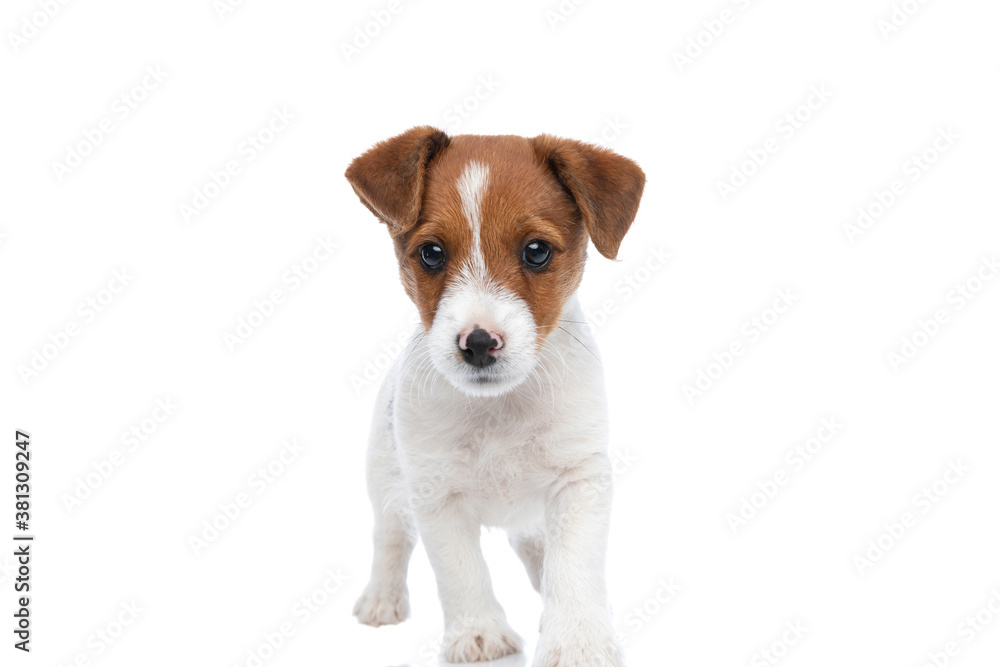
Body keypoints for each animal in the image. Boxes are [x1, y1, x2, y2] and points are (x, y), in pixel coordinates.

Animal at [348, 128, 644, 664]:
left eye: (536, 251)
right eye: (431, 253)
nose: (480, 343)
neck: (500, 408)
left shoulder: (580, 480)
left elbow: (573, 566)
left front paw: (577, 638)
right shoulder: (436, 495)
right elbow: (461, 570)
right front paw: (480, 633)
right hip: (385, 478)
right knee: (390, 538)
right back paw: (382, 597)